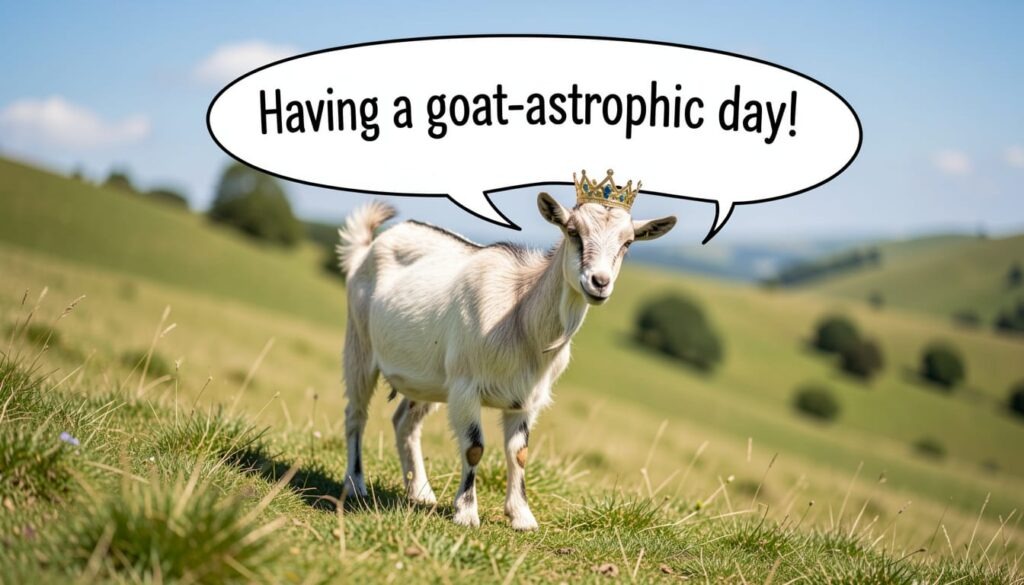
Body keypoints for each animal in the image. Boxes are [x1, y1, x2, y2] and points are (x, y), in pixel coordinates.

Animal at [337, 190, 676, 529]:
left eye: (627, 242)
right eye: (573, 231)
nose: (599, 282)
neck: (519, 314)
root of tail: (369, 247)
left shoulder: (527, 398)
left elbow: (519, 453)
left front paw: (522, 516)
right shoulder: (465, 386)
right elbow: (474, 448)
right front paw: (466, 513)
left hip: (428, 379)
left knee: (404, 423)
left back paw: (420, 492)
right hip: (359, 343)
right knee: (356, 414)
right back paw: (355, 484)